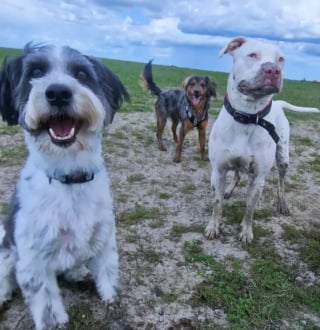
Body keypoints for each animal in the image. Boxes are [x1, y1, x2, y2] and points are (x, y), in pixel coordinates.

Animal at [0, 43, 129, 330]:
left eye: (81, 73)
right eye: (36, 72)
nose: (58, 92)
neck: (69, 177)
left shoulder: (104, 238)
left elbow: (108, 271)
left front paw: (111, 298)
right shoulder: (33, 260)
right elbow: (47, 303)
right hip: (5, 247)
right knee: (5, 273)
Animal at [206, 36, 318, 242]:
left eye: (281, 59)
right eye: (252, 54)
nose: (273, 70)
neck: (247, 116)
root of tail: (279, 104)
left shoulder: (258, 178)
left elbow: (250, 207)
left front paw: (246, 231)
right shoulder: (218, 171)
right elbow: (217, 203)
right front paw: (213, 226)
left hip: (283, 158)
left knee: (281, 182)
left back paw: (282, 203)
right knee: (237, 174)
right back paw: (229, 189)